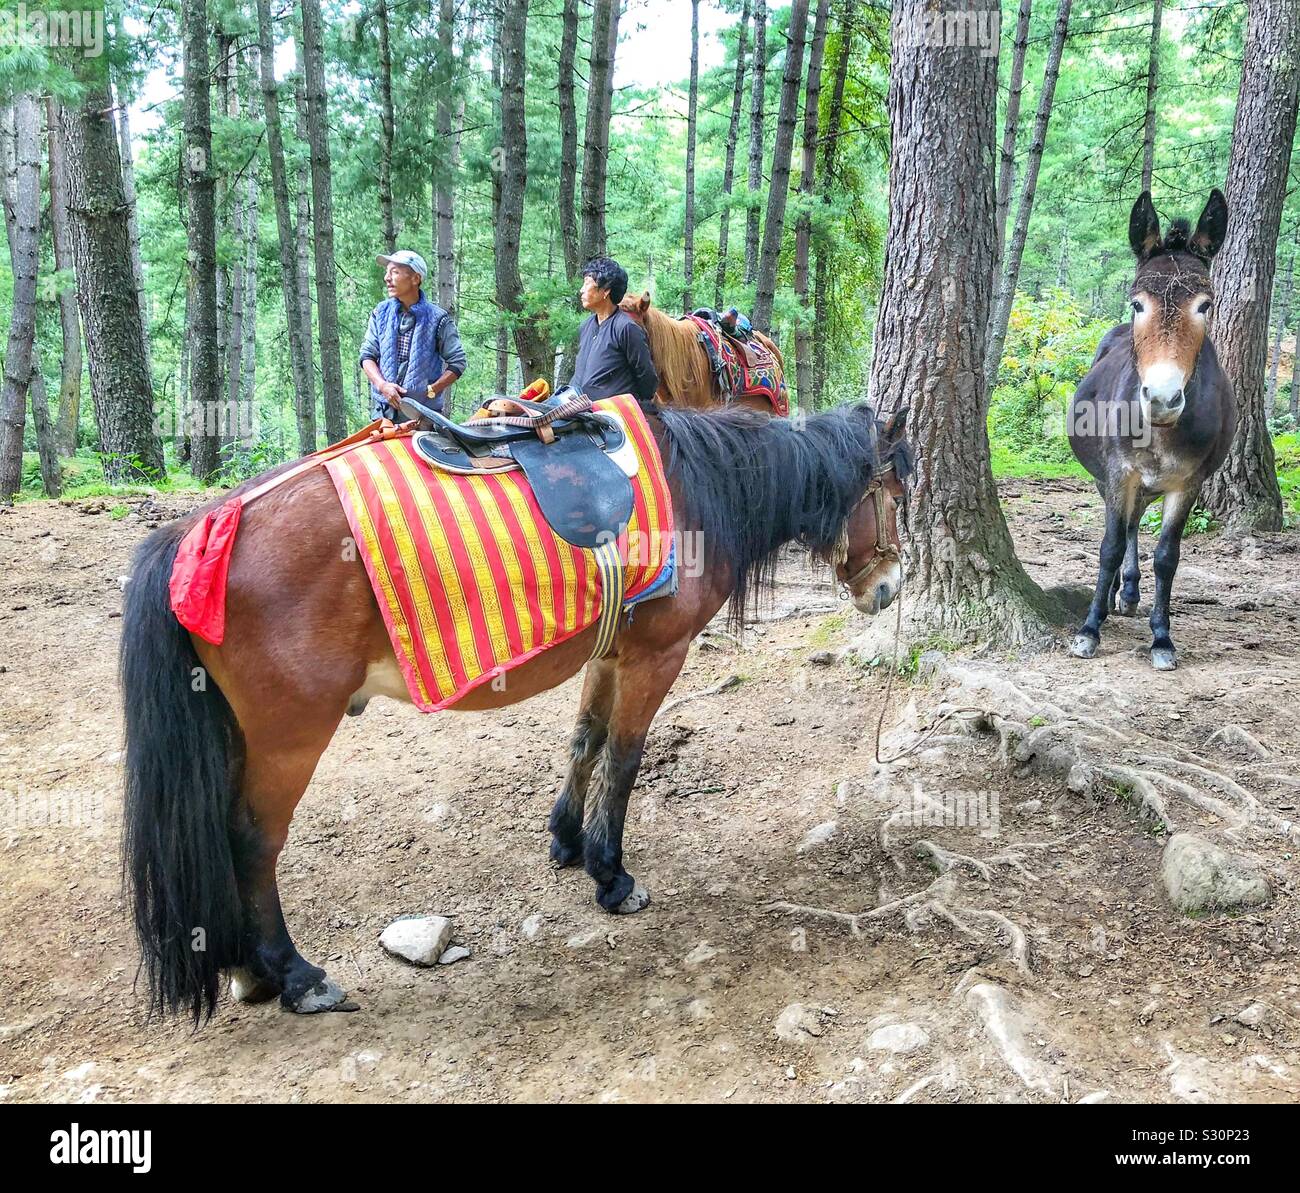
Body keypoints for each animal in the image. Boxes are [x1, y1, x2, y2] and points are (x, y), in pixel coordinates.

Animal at [120, 400, 911, 1021]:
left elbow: (585, 741)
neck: (696, 486)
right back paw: (295, 975)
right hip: (289, 737)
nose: (891, 588)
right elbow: (625, 759)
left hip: (238, 733)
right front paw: (612, 875)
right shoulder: (657, 656)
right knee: (253, 842)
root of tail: (199, 530)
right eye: (897, 493)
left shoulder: (609, 651)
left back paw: (245, 968)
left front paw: (567, 841)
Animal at [1067, 189, 1234, 670]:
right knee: (1124, 529)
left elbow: (1167, 557)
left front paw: (1161, 637)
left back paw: (1130, 591)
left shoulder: (1189, 483)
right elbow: (1108, 547)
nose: (1161, 398)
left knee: (1136, 525)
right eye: (1137, 303)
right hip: (1112, 479)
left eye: (1205, 305)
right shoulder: (1119, 473)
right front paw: (1090, 628)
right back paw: (1114, 596)